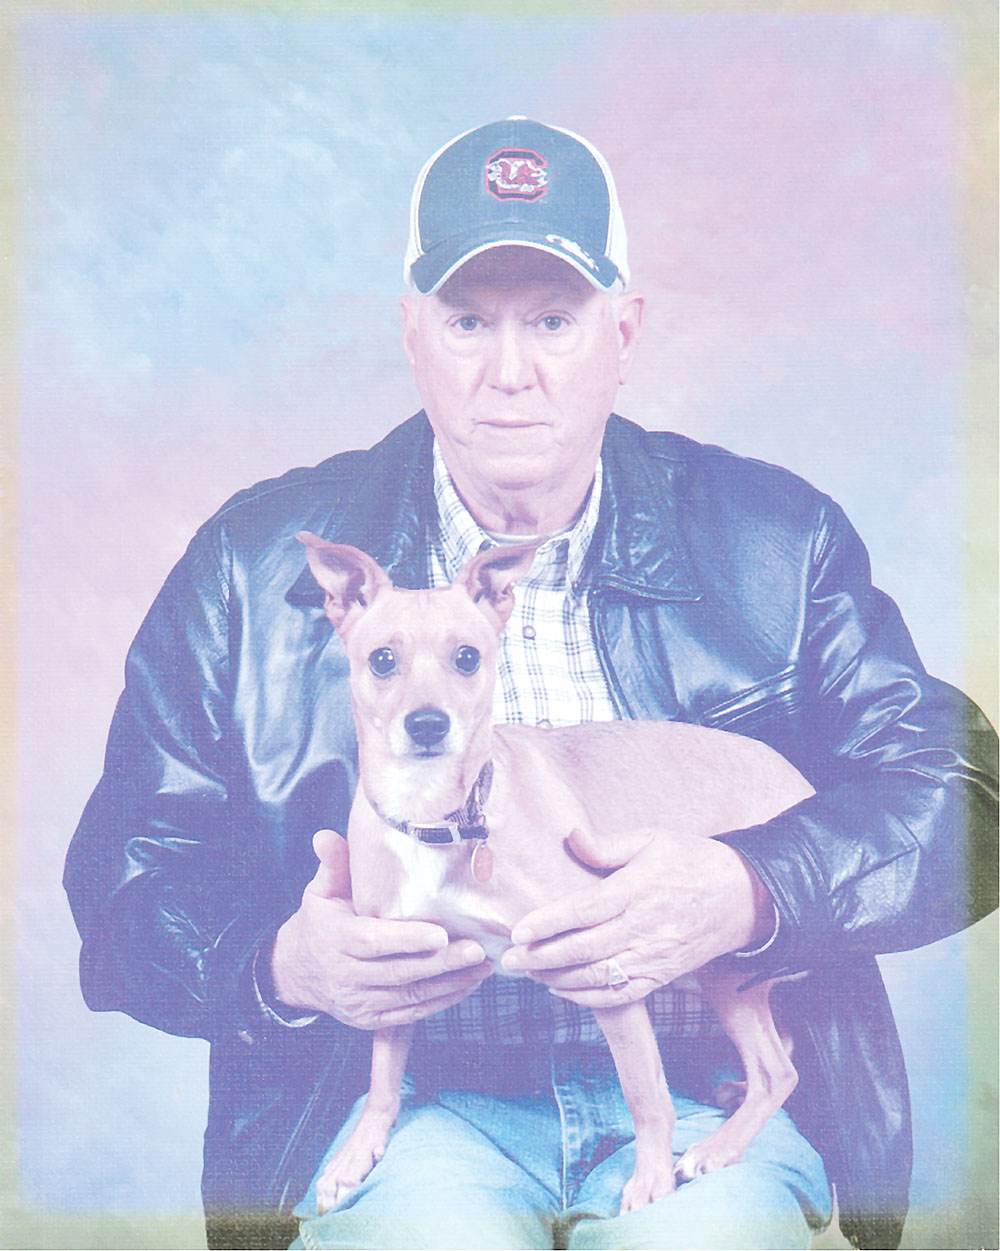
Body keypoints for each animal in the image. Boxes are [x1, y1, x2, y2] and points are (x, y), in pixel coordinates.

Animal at [298, 532, 814, 1215]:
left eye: (468, 658)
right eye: (382, 660)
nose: (428, 724)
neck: (440, 814)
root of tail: (799, 779)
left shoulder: (604, 975)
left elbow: (647, 1095)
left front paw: (649, 1178)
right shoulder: (397, 977)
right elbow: (383, 1080)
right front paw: (357, 1155)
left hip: (722, 963)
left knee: (778, 1070)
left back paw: (716, 1148)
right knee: (779, 1056)